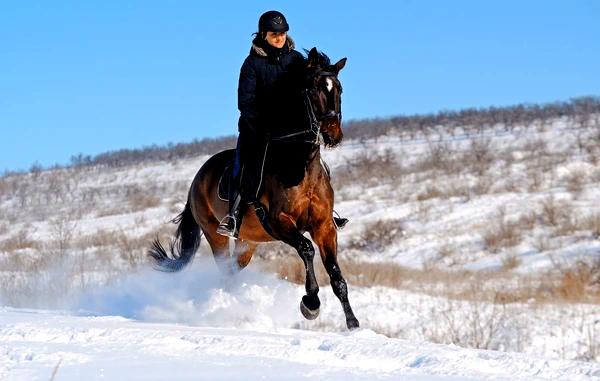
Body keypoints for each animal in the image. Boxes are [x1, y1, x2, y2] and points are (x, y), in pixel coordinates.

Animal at [148, 46, 358, 326]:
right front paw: (310, 304)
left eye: (339, 89)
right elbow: (306, 249)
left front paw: (353, 324)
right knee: (225, 269)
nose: (332, 134)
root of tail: (197, 179)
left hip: (247, 241)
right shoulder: (279, 222)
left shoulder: (324, 226)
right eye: (313, 90)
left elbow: (336, 276)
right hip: (216, 234)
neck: (299, 164)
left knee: (234, 269)